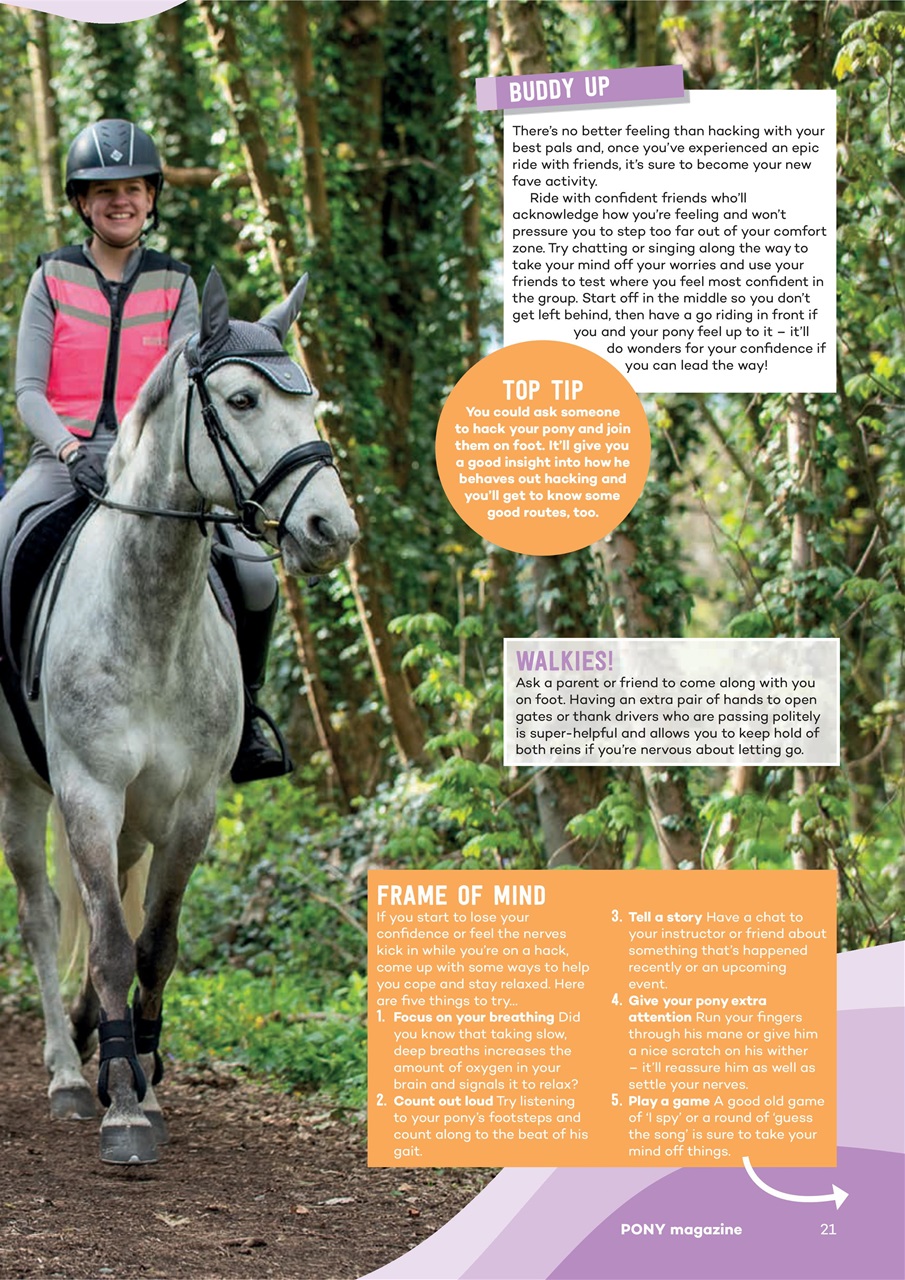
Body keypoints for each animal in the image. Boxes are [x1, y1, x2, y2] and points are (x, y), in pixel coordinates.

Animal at [0, 268, 359, 1164]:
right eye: (240, 400)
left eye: (309, 402)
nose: (330, 529)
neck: (152, 614)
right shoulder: (87, 794)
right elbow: (108, 942)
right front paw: (124, 1109)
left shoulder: (194, 803)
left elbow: (152, 943)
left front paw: (144, 1076)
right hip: (23, 788)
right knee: (40, 913)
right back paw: (67, 1070)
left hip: (136, 813)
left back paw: (96, 1043)